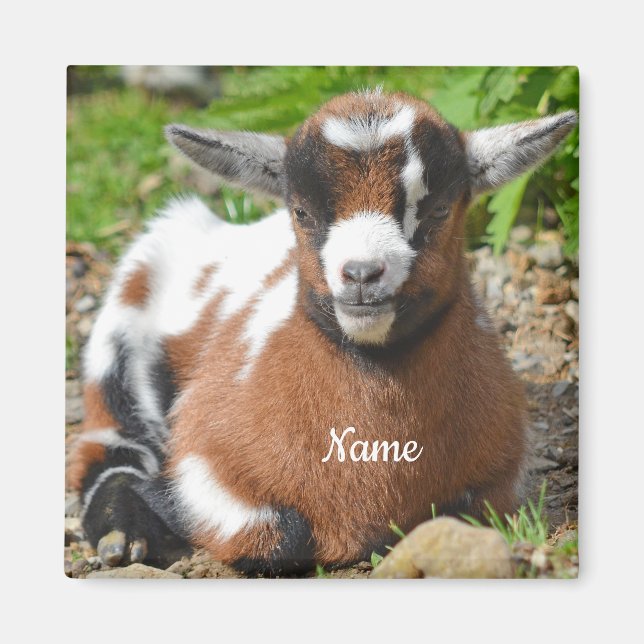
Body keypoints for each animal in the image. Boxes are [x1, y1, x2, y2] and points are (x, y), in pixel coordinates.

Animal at [68, 89, 577, 574]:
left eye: (438, 211)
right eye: (302, 213)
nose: (361, 274)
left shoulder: (501, 477)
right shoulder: (205, 461)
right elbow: (280, 533)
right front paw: (160, 507)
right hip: (125, 319)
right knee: (108, 442)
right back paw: (122, 533)